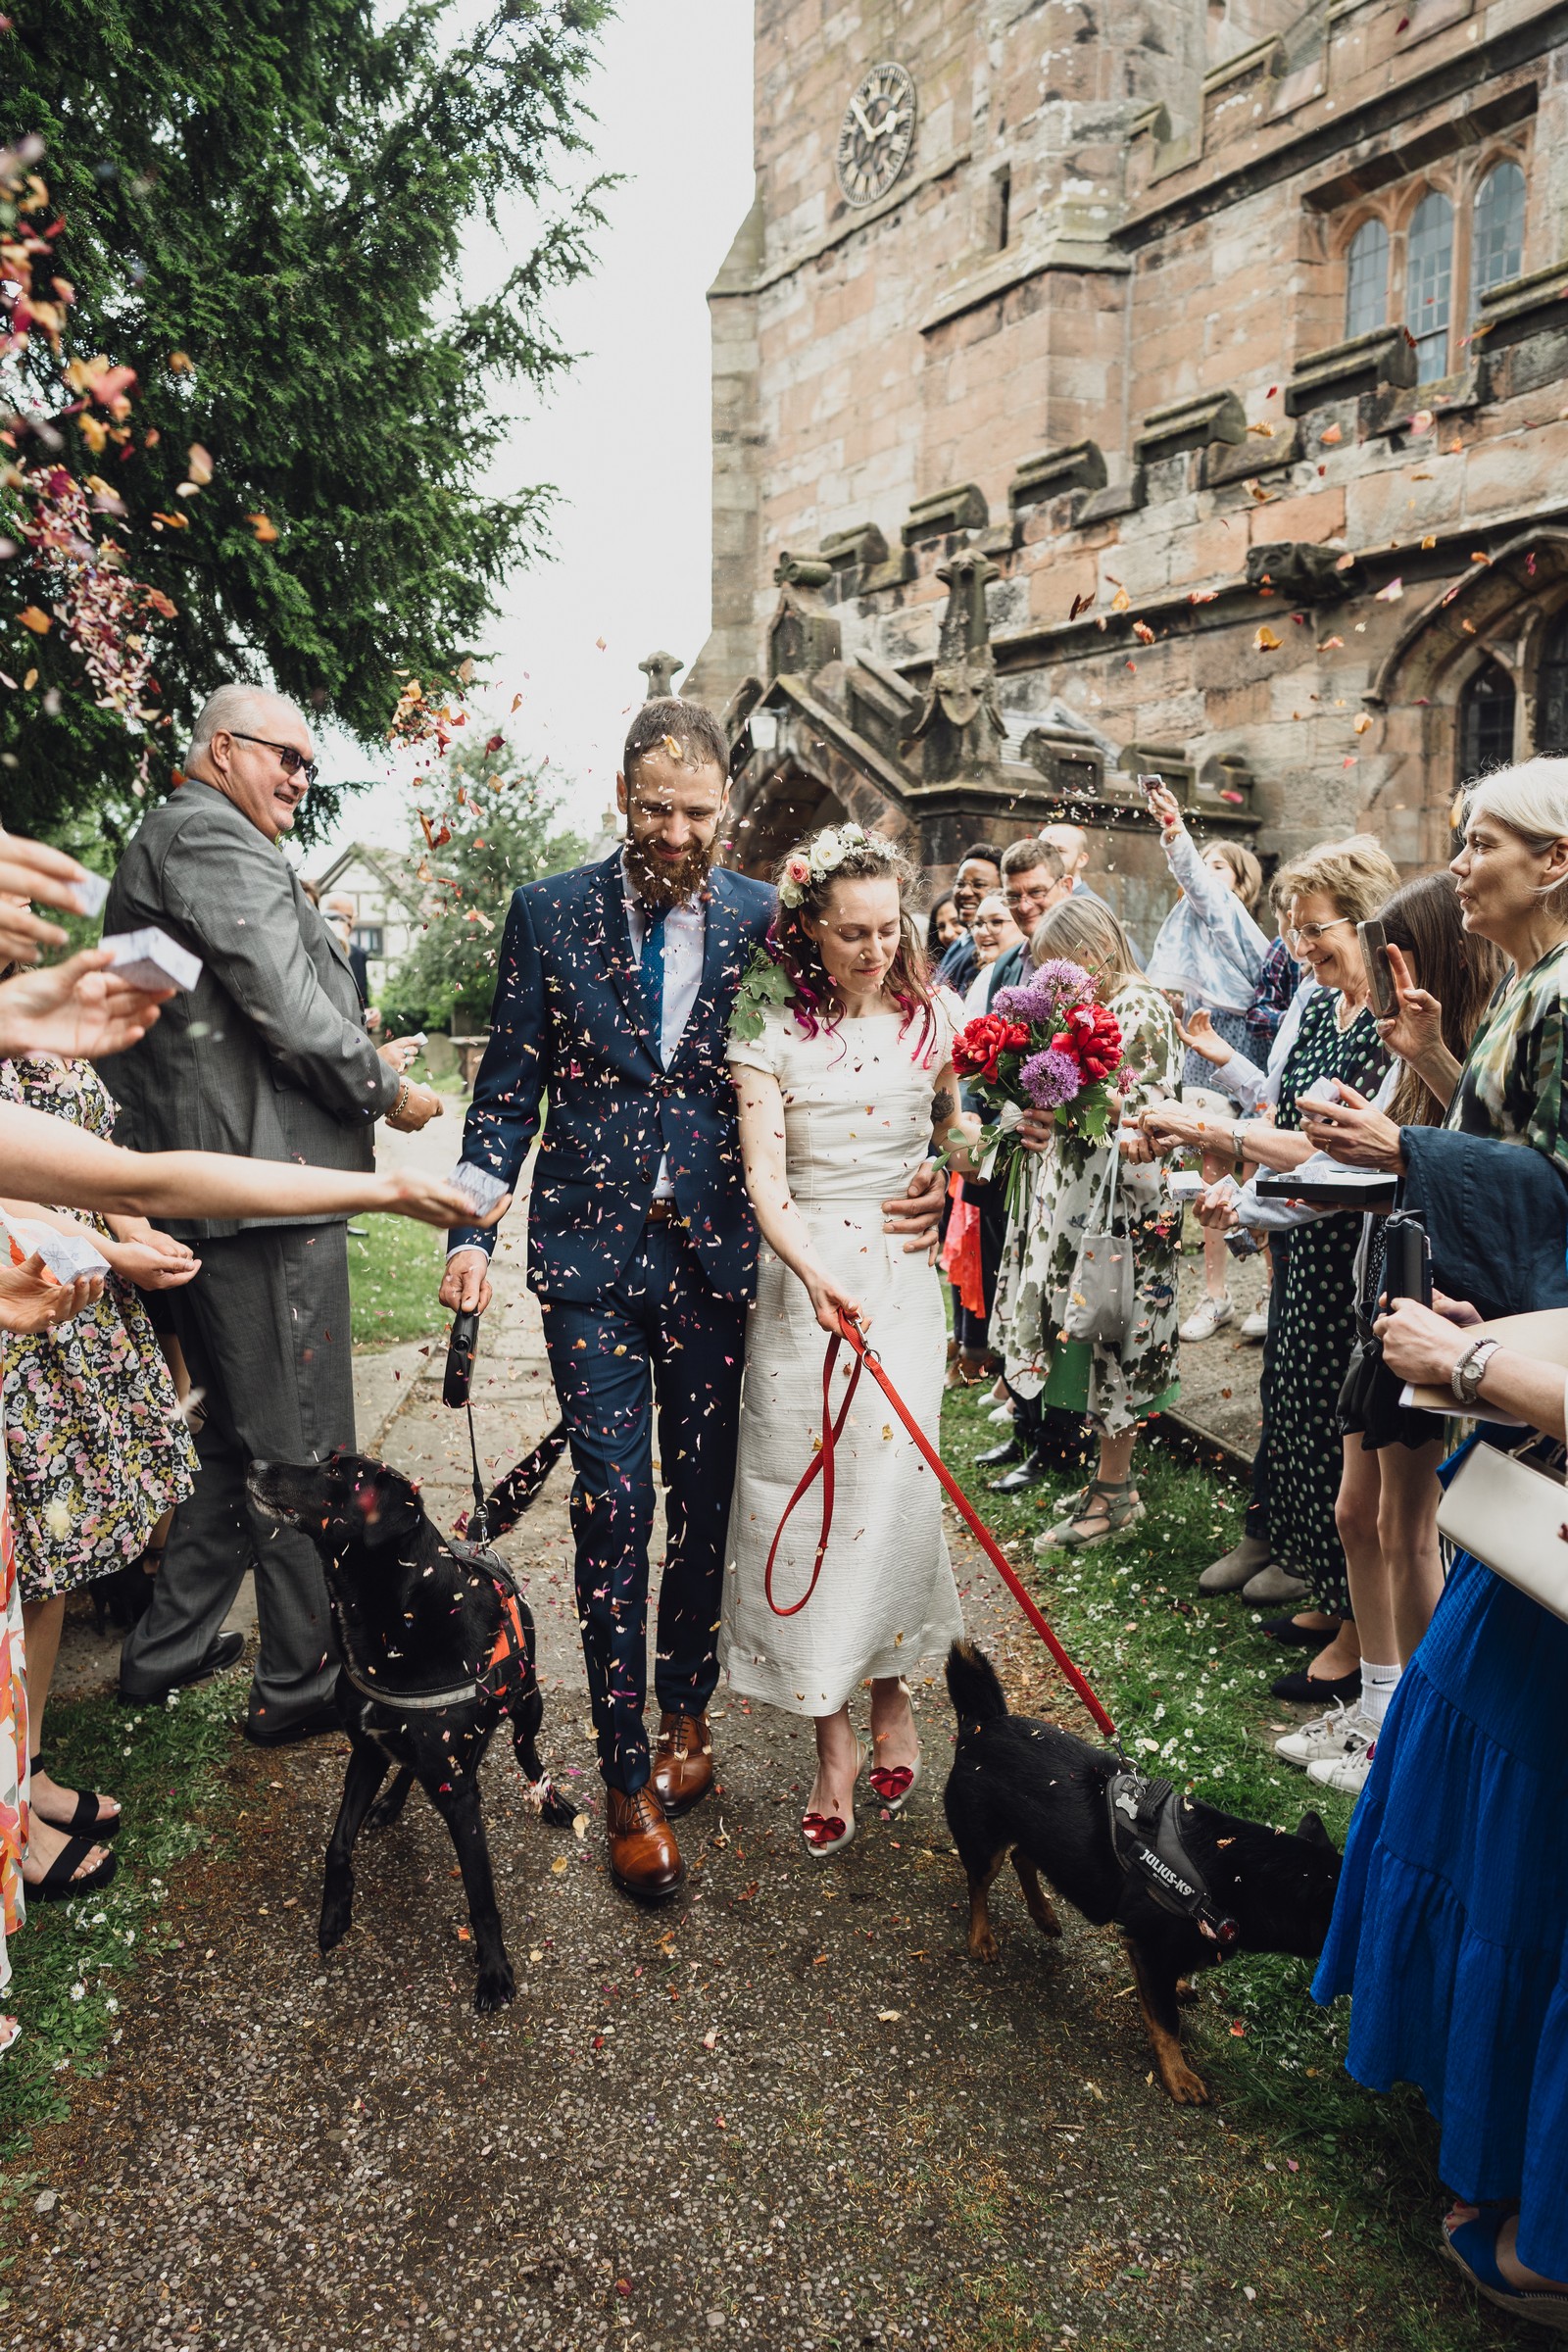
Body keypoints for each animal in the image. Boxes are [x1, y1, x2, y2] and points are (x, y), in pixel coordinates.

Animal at [242, 1439, 566, 2013]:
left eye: (336, 1473)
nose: (252, 1464)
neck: (396, 1621)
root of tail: (480, 1541)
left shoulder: (459, 1793)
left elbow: (481, 1897)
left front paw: (493, 1971)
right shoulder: (368, 1749)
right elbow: (337, 1844)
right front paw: (334, 1914)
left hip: (529, 1702)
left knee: (527, 1751)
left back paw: (549, 1798)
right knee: (424, 1763)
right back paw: (392, 1801)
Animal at [940, 1646, 1345, 2107]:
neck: (1236, 1872)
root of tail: (982, 1724)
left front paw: (1181, 1987)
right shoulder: (1148, 1945)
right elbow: (1166, 2023)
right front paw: (1178, 2075)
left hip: (1041, 1834)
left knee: (1023, 1856)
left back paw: (1044, 1914)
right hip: (983, 1839)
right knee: (979, 1883)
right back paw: (982, 1938)